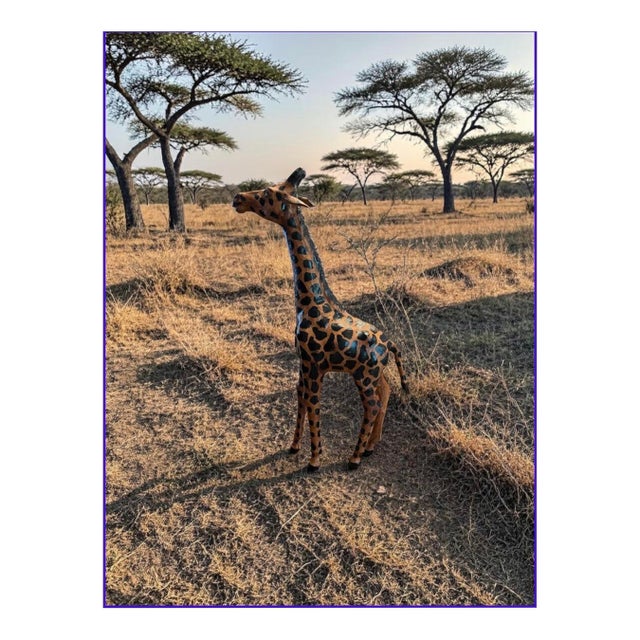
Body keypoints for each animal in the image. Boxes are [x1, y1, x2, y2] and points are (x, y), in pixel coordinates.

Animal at [232, 168, 408, 472]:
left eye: (267, 193)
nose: (237, 198)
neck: (309, 302)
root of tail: (391, 345)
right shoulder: (303, 362)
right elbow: (300, 396)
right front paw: (293, 447)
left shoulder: (314, 365)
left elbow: (314, 403)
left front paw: (314, 460)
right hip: (375, 373)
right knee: (385, 394)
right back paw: (371, 447)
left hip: (363, 375)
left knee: (372, 404)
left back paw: (355, 457)